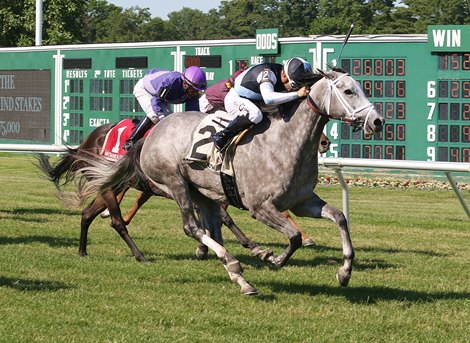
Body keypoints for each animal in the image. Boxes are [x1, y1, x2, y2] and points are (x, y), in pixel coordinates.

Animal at [76, 68, 382, 296]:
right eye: (348, 91)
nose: (377, 121)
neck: (284, 142)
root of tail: (151, 135)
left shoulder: (303, 201)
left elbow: (340, 217)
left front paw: (345, 272)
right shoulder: (260, 207)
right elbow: (293, 237)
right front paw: (274, 258)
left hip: (202, 192)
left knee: (210, 227)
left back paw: (237, 275)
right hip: (174, 183)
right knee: (191, 227)